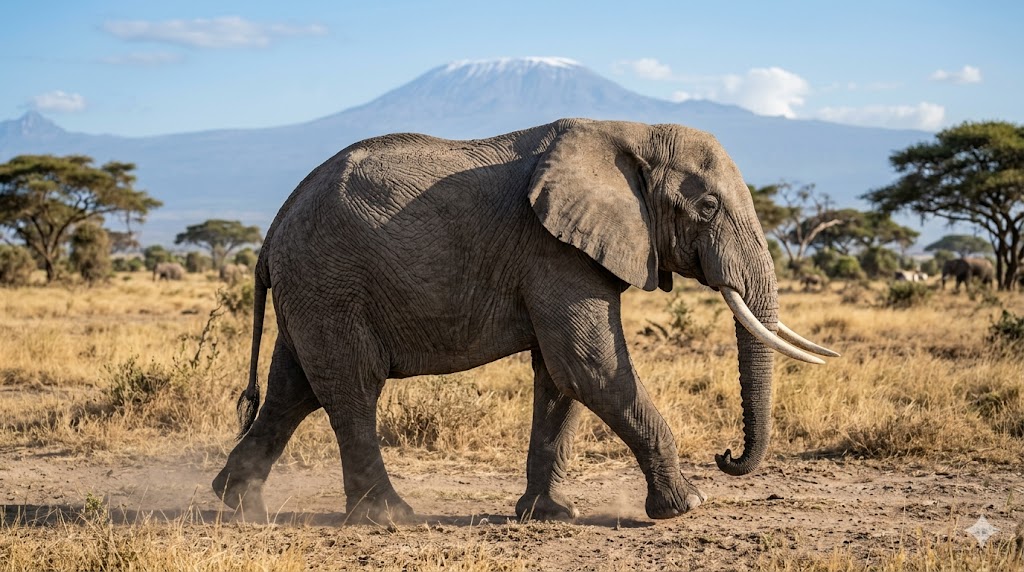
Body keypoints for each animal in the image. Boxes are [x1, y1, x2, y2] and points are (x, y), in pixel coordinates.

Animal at [212, 119, 838, 523]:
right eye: (707, 207)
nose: (727, 456)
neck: (629, 134)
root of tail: (273, 228)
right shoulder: (553, 250)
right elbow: (589, 364)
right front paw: (687, 507)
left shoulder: (559, 252)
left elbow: (560, 376)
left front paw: (552, 515)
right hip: (330, 280)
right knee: (351, 388)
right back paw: (389, 518)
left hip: (313, 288)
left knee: (294, 389)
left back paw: (238, 506)